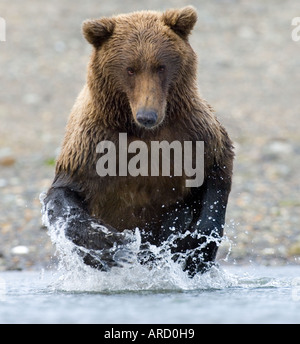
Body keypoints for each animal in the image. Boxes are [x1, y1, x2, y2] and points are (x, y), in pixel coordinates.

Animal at [43, 6, 233, 276]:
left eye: (160, 67)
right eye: (130, 69)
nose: (147, 115)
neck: (143, 132)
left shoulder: (193, 132)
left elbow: (216, 173)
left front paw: (194, 247)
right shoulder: (92, 146)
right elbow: (66, 196)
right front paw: (117, 247)